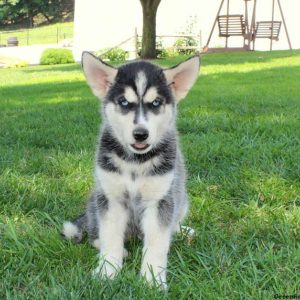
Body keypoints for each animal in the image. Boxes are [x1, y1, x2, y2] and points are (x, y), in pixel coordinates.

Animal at [61, 52, 200, 288]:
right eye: (124, 102)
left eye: (156, 102)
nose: (140, 134)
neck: (136, 161)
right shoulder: (111, 198)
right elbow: (110, 238)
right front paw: (108, 270)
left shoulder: (161, 200)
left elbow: (158, 243)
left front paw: (152, 279)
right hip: (95, 201)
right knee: (95, 235)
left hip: (181, 198)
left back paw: (181, 231)